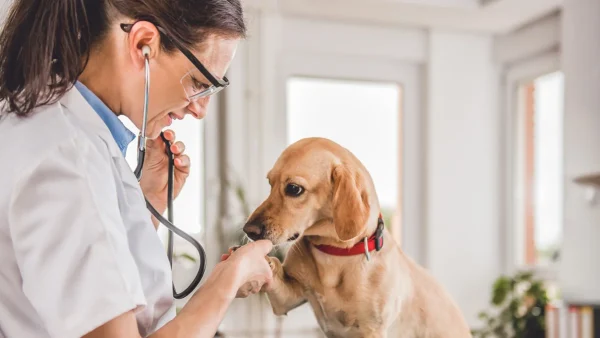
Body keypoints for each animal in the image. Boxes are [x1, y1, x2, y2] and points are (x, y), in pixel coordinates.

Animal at [241, 137, 472, 338]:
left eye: (294, 188)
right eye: (270, 183)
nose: (248, 230)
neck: (333, 254)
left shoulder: (372, 330)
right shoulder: (287, 298)